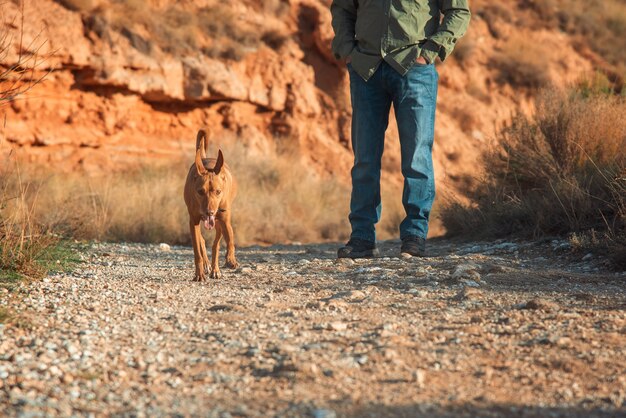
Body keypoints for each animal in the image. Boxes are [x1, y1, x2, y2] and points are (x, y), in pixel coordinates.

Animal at [184, 129, 238, 280]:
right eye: (200, 191)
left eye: (218, 191)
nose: (209, 212)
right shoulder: (193, 221)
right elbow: (197, 251)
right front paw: (199, 274)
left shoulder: (224, 220)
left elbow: (229, 239)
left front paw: (230, 259)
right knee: (202, 241)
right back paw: (208, 265)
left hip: (218, 222)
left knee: (216, 244)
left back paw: (216, 269)